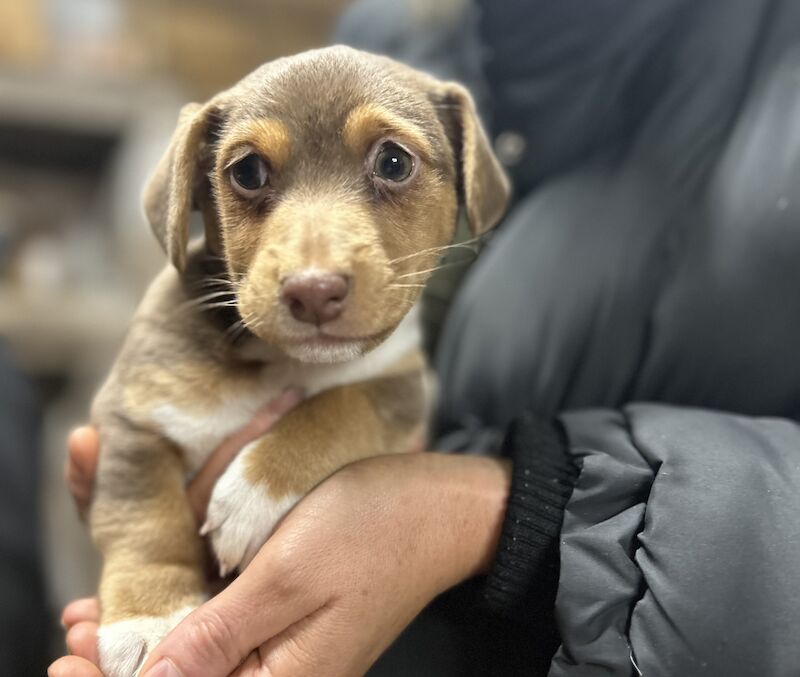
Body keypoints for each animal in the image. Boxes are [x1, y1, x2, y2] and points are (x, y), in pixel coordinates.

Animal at [89, 45, 512, 672]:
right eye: (247, 172)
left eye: (393, 161)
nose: (313, 291)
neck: (286, 362)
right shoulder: (133, 415)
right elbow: (144, 517)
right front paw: (148, 619)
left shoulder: (403, 386)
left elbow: (336, 407)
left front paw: (252, 494)